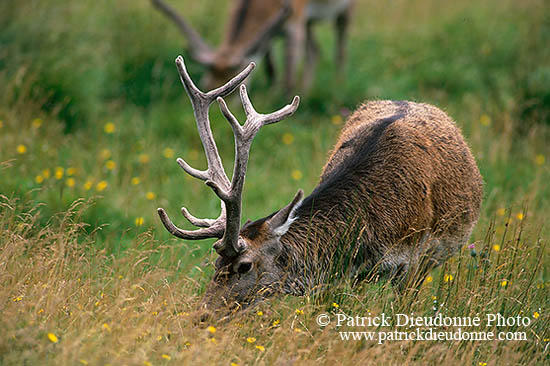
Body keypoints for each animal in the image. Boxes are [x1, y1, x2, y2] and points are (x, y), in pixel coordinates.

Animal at [151, 0, 356, 91]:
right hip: (309, 23)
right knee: (315, 51)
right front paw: (271, 92)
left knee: (340, 47)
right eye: (205, 84)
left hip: (345, 11)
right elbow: (269, 65)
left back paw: (338, 85)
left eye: (238, 86)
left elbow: (289, 70)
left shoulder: (296, 20)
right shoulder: (271, 34)